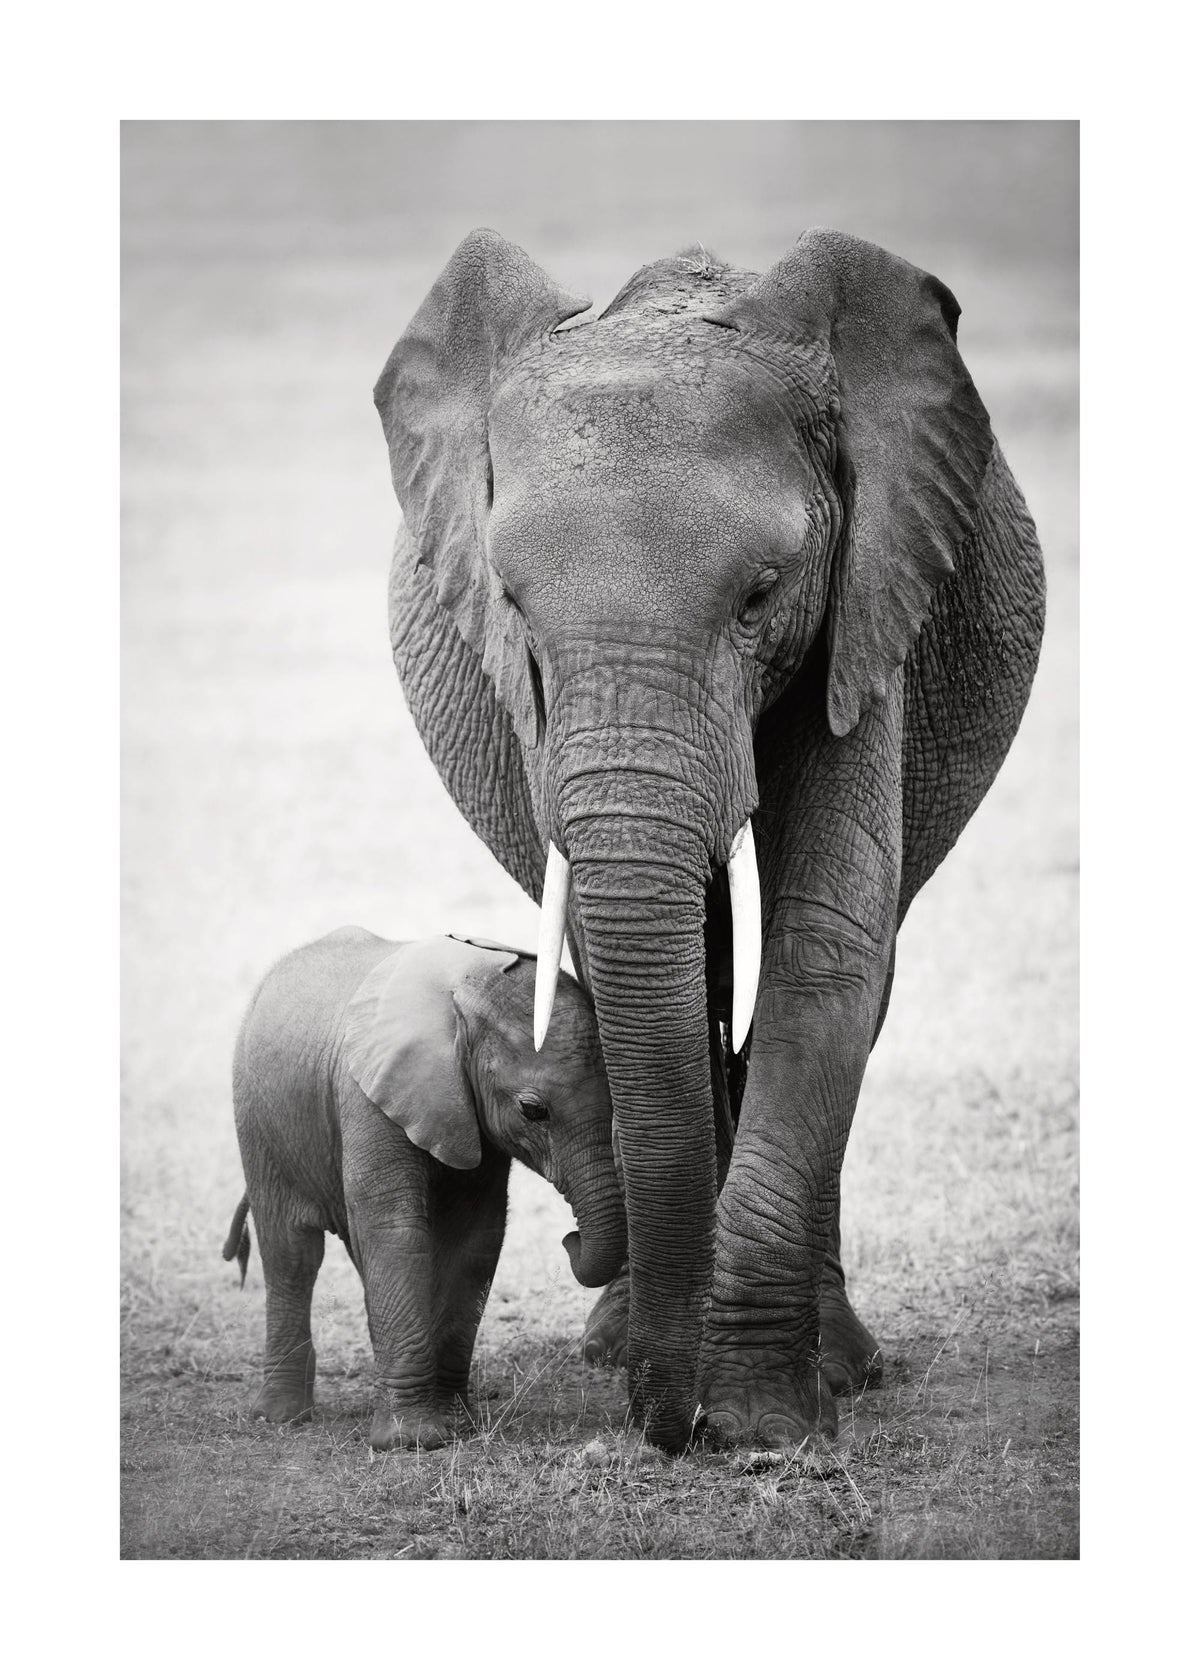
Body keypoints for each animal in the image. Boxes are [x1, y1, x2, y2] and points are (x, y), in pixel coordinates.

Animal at [224, 928, 626, 1449]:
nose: (570, 1239)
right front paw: (411, 1441)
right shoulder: (369, 1096)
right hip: (258, 1124)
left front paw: (457, 1425)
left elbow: (475, 1240)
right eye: (533, 1111)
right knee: (291, 1253)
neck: (465, 994)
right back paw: (282, 1417)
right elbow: (396, 1232)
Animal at [373, 228, 1046, 1454]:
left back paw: (837, 1365)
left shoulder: (868, 604)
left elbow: (826, 946)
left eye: (761, 596)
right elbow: (646, 961)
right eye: (512, 605)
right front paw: (694, 1392)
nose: (664, 1424)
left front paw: (762, 1424)